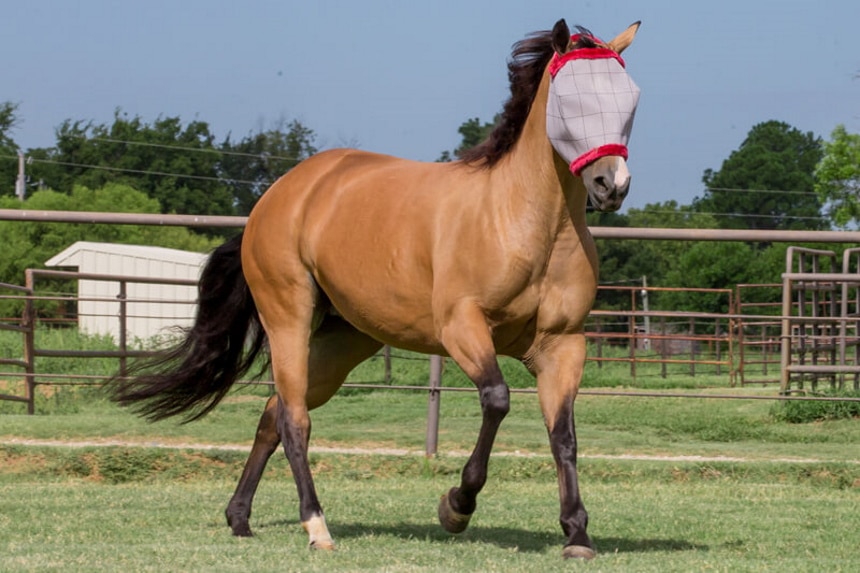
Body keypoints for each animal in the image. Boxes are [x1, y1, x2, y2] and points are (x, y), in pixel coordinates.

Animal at [112, 16, 640, 560]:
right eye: (570, 99)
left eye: (632, 98)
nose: (611, 185)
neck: (523, 221)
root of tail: (276, 198)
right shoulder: (462, 329)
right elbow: (497, 399)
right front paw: (456, 506)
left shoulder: (562, 345)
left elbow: (564, 435)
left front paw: (577, 533)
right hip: (289, 318)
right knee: (294, 420)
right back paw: (316, 526)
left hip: (343, 340)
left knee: (273, 413)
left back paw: (239, 518)